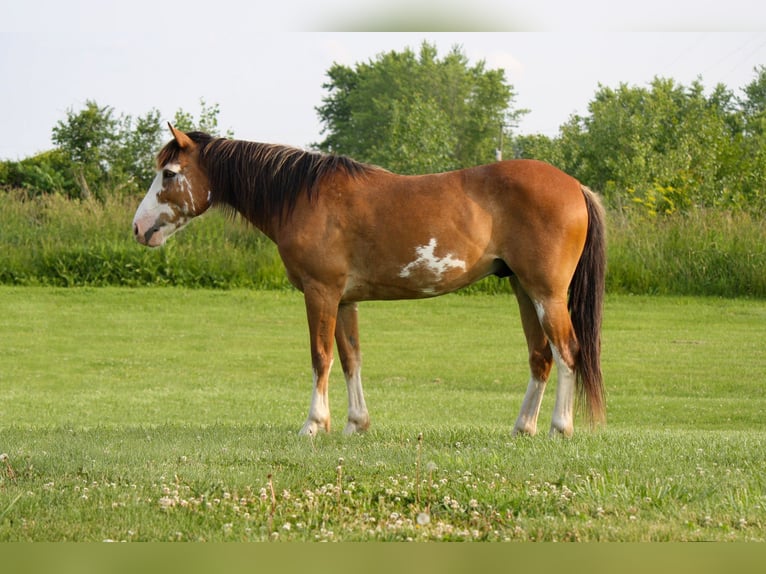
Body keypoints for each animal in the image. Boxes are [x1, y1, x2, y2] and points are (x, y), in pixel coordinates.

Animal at [133, 125, 606, 437]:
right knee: (540, 357)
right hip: (523, 290)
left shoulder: (320, 293)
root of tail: (575, 186)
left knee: (567, 352)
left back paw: (559, 428)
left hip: (547, 294)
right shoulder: (344, 299)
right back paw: (523, 427)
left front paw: (314, 425)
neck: (304, 196)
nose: (138, 228)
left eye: (170, 173)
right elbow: (350, 359)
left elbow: (320, 357)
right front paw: (355, 424)